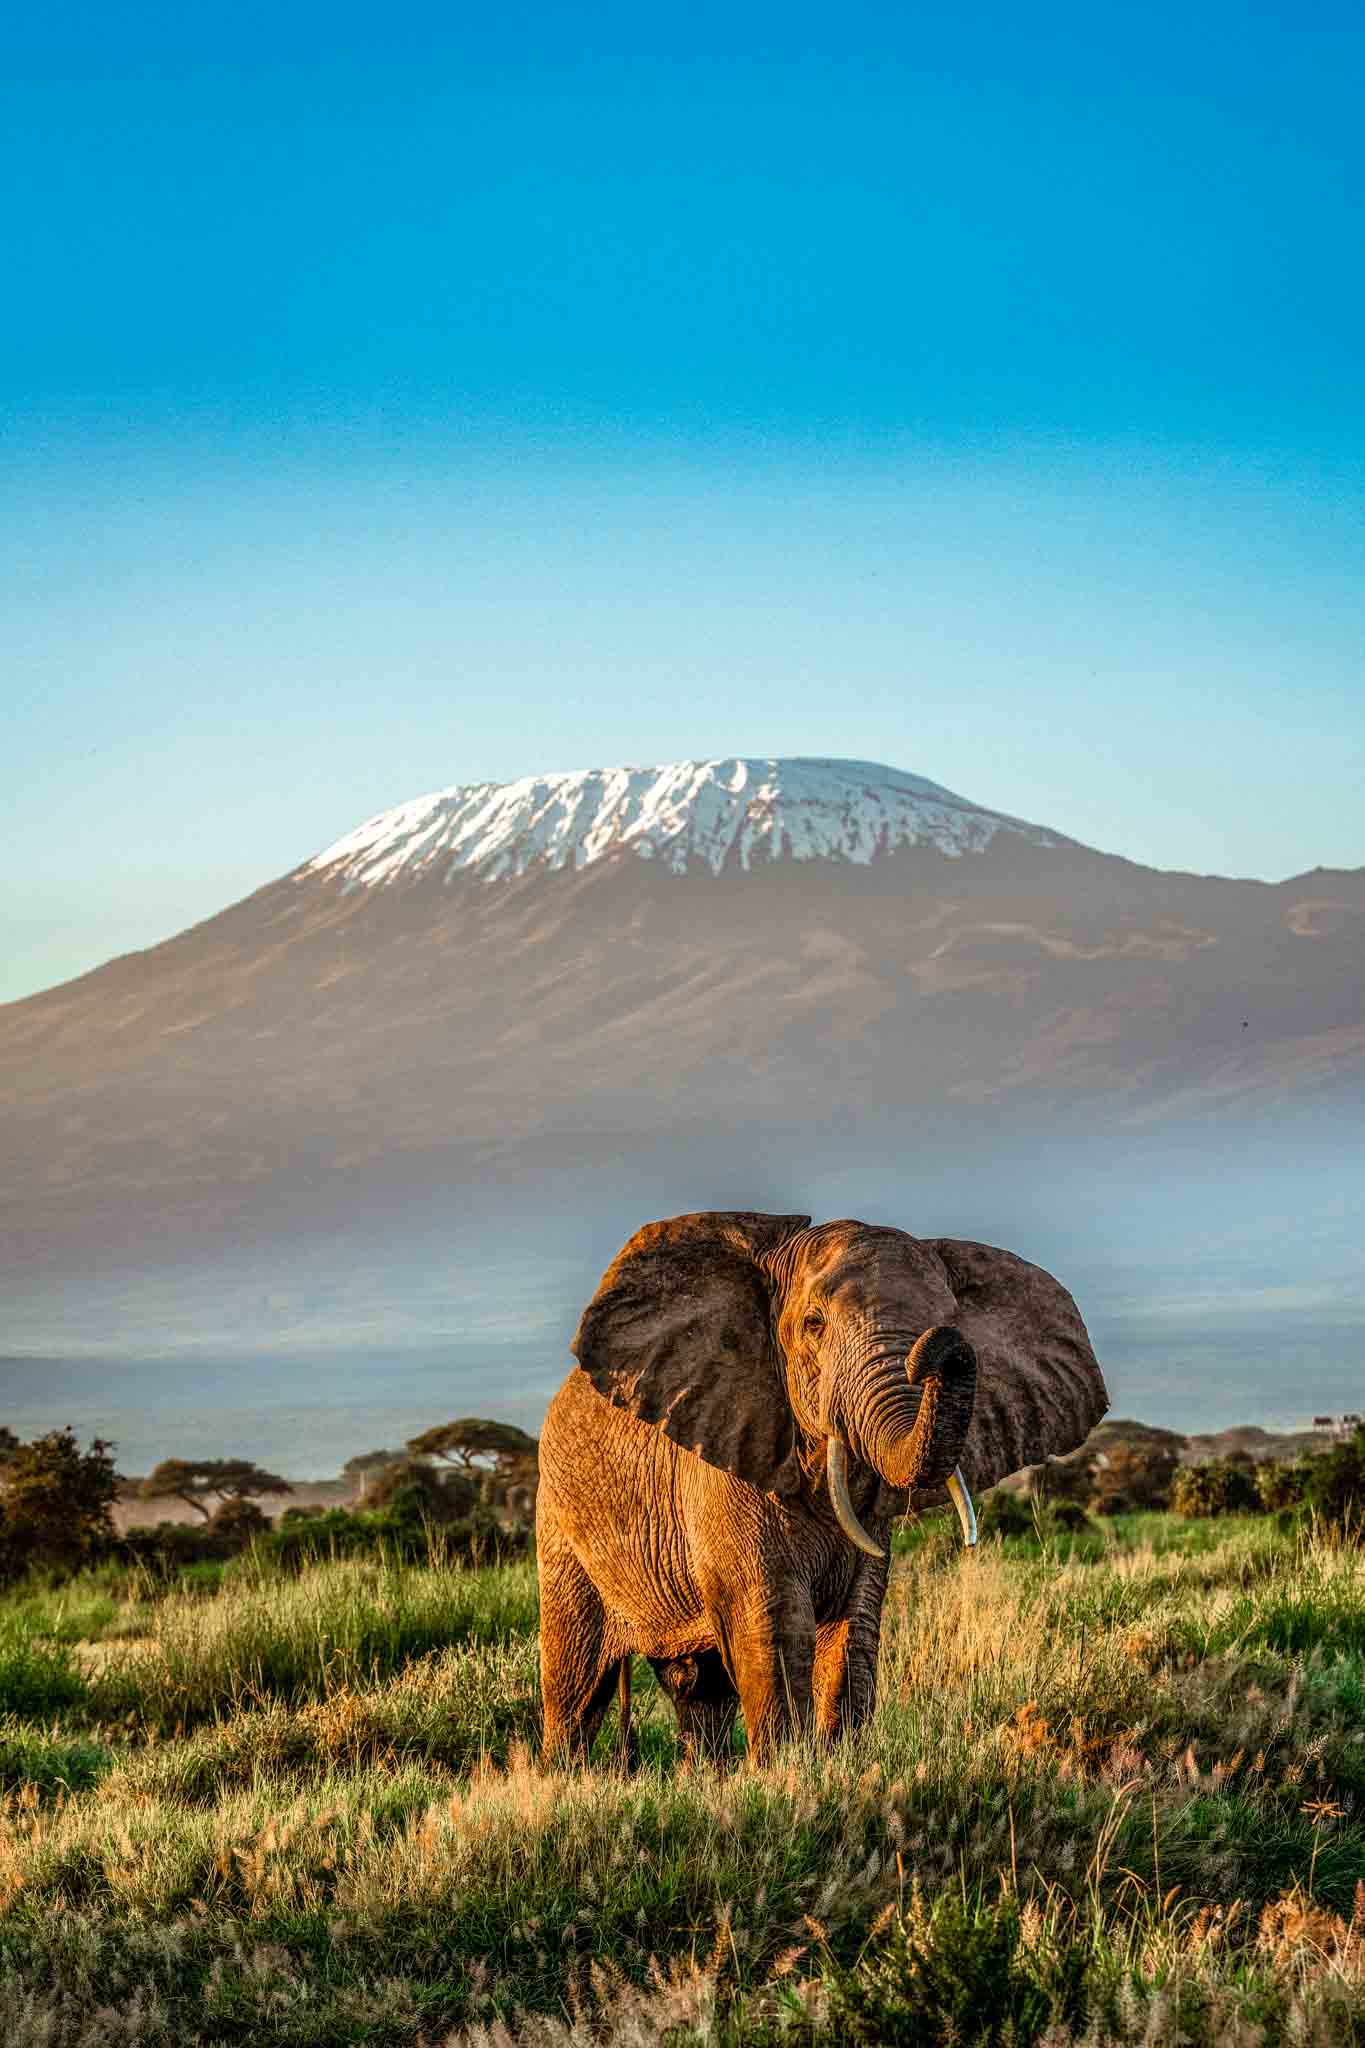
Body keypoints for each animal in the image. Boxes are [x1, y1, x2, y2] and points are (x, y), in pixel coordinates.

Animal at [536, 1204, 1113, 1769]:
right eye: (813, 1324)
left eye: (951, 1318)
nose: (942, 1346)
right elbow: (772, 1621)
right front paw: (785, 1774)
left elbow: (854, 1624)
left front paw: (838, 1765)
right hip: (560, 1523)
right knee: (577, 1681)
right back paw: (565, 1777)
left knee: (698, 1688)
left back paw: (706, 1776)